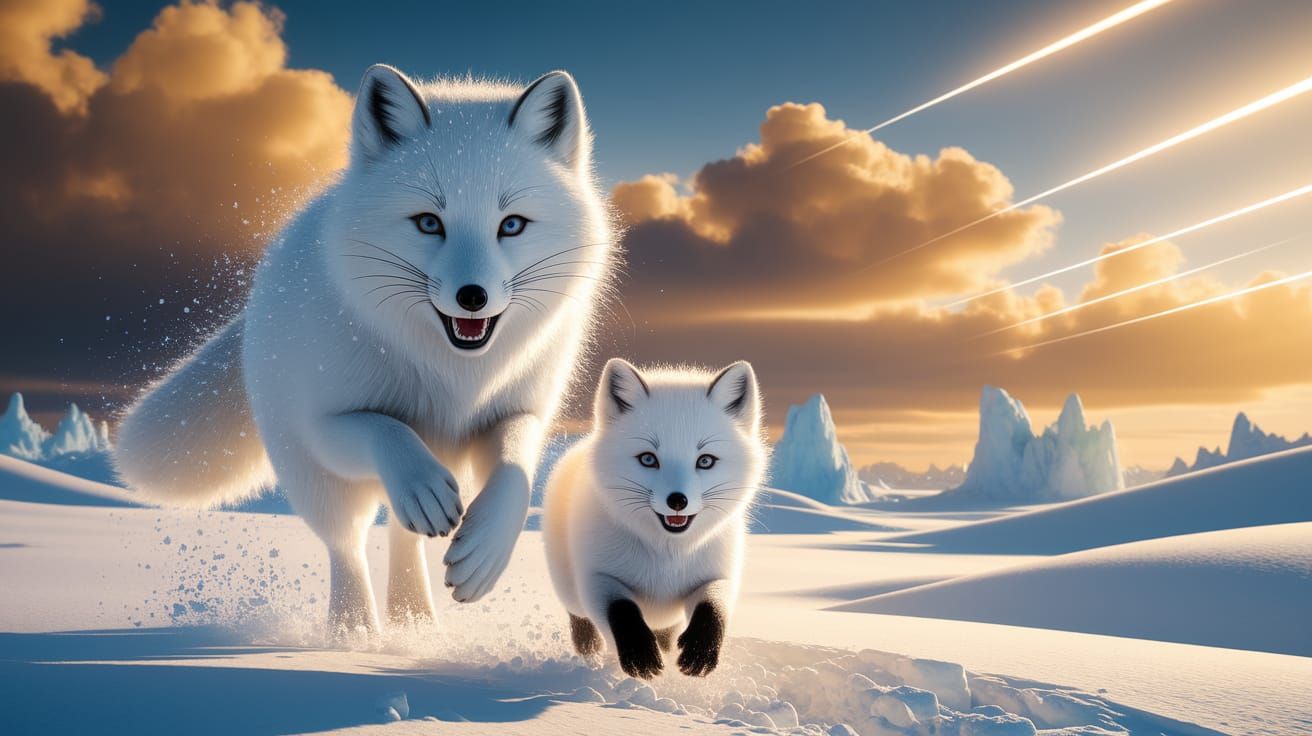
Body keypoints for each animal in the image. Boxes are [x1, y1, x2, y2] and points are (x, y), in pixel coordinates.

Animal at [114, 64, 615, 634]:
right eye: (428, 222)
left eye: (511, 225)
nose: (473, 296)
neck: (454, 375)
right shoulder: (325, 423)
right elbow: (388, 430)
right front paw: (416, 481)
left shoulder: (517, 412)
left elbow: (514, 472)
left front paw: (484, 554)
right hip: (311, 471)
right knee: (346, 544)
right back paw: (354, 629)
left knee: (403, 531)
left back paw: (415, 624)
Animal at [542, 359, 767, 678]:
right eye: (648, 459)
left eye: (705, 461)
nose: (677, 501)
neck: (667, 557)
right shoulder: (597, 578)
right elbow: (622, 610)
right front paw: (640, 656)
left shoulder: (718, 574)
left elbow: (714, 607)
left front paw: (700, 651)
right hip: (569, 588)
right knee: (580, 618)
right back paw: (590, 651)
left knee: (667, 634)